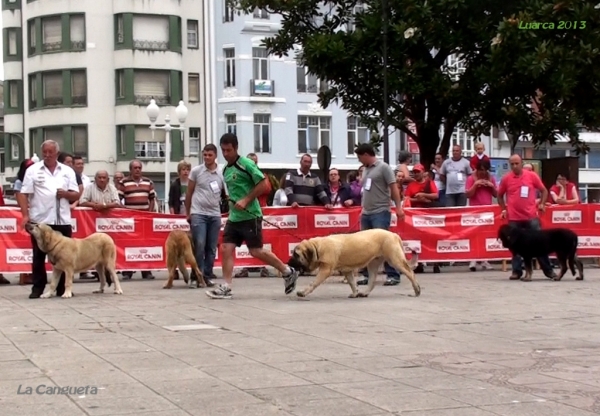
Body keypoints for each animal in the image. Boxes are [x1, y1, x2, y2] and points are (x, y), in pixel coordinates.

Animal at [288, 228, 420, 300]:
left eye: (296, 255)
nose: (288, 262)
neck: (317, 247)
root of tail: (393, 234)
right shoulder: (347, 271)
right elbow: (352, 282)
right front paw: (355, 292)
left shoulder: (325, 270)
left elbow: (313, 283)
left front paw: (303, 292)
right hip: (373, 263)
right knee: (372, 280)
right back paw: (365, 293)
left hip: (395, 260)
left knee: (410, 272)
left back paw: (417, 289)